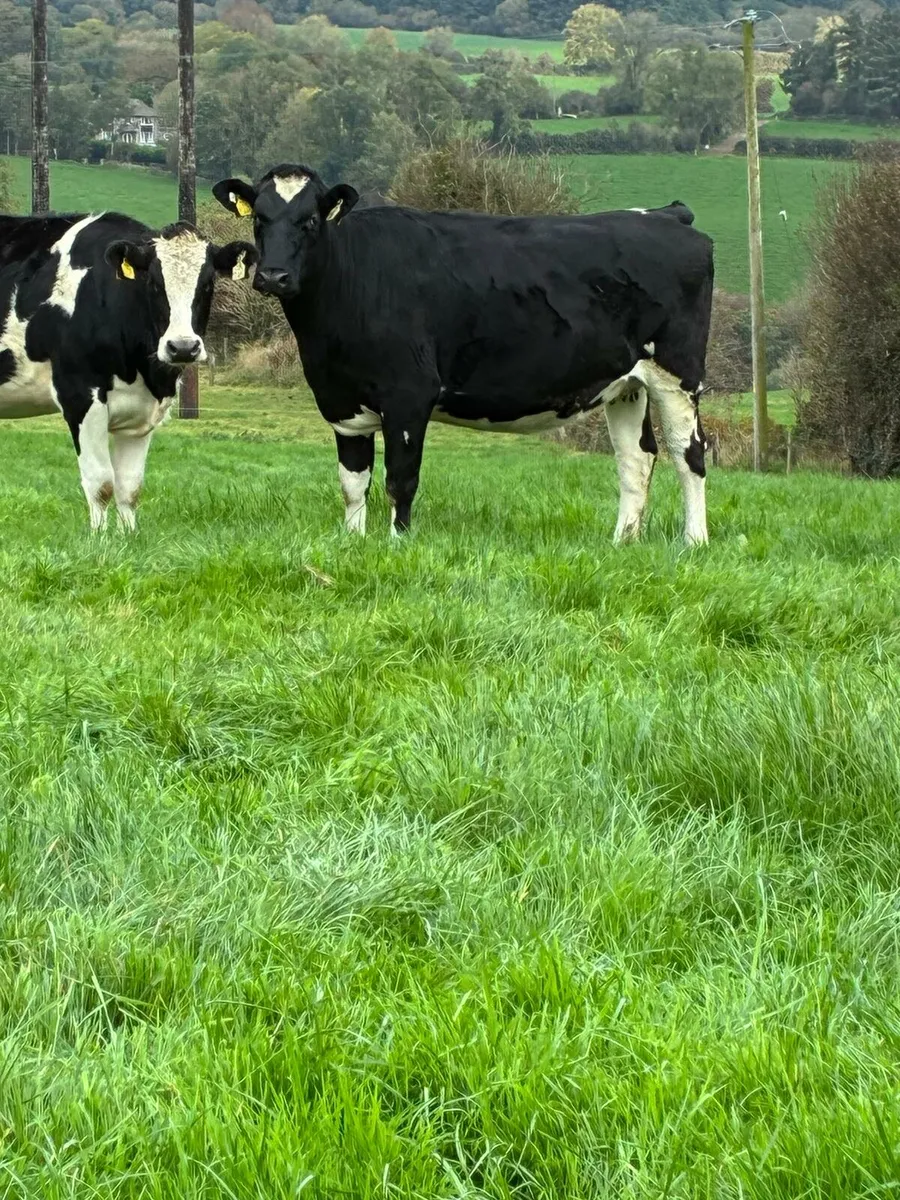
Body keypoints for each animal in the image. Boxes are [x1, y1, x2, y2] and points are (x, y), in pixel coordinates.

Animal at [0, 212, 258, 531]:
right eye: (154, 283)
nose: (183, 347)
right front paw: (99, 540)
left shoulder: (142, 410)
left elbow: (130, 487)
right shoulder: (79, 396)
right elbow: (100, 484)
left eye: (208, 283)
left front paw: (129, 537)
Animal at [212, 164, 714, 545]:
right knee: (637, 459)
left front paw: (397, 546)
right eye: (259, 219)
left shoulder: (409, 394)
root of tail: (667, 215)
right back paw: (621, 543)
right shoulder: (341, 402)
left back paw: (693, 543)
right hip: (628, 382)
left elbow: (400, 479)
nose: (273, 276)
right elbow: (353, 483)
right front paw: (352, 543)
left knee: (689, 453)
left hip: (677, 375)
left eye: (311, 221)